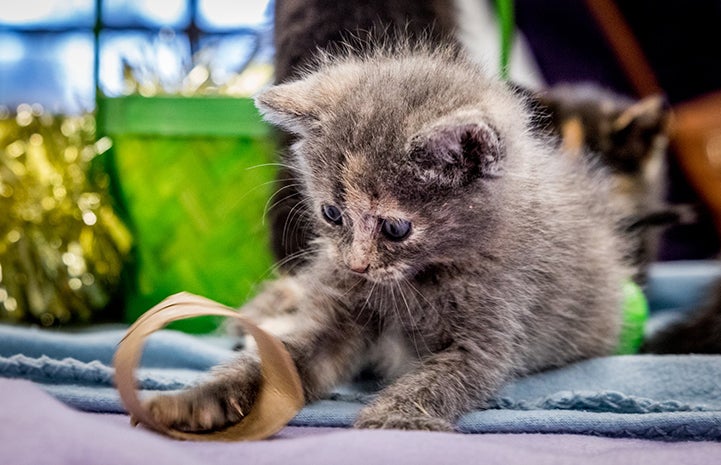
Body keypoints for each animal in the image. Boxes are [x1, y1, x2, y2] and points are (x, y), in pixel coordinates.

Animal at [143, 44, 628, 432]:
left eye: (396, 228)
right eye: (332, 213)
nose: (356, 265)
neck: (415, 282)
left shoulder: (492, 330)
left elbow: (440, 380)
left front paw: (394, 419)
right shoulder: (337, 311)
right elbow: (279, 360)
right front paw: (196, 400)